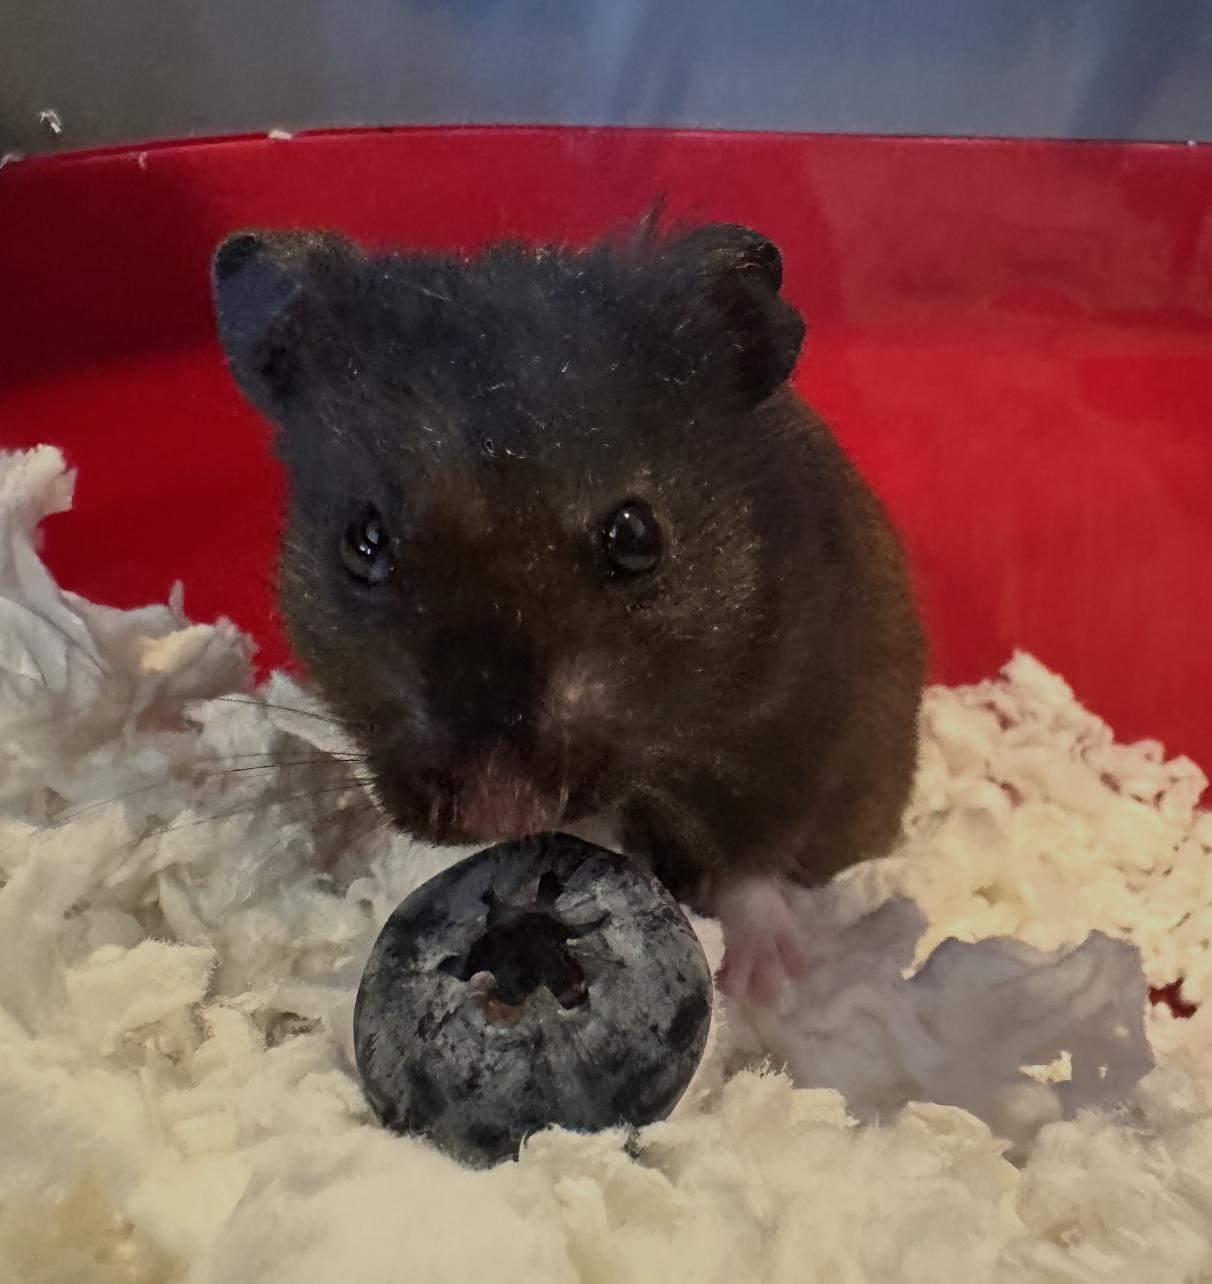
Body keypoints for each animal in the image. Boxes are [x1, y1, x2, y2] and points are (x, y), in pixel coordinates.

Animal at [211, 221, 925, 1006]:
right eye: (362, 541)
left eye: (638, 535)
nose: (497, 809)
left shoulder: (793, 721)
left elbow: (751, 860)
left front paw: (764, 985)